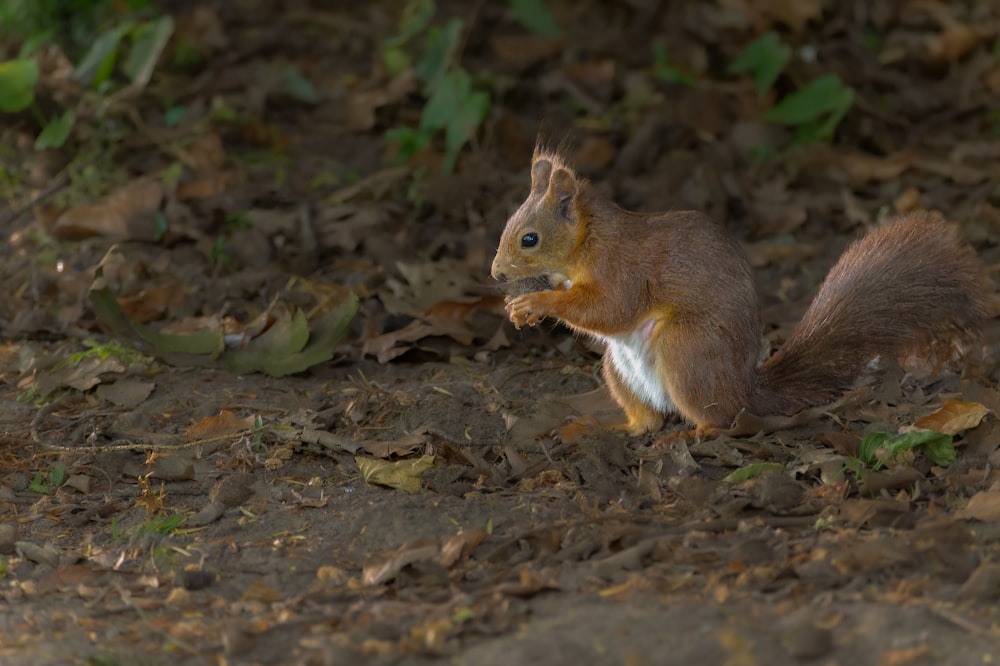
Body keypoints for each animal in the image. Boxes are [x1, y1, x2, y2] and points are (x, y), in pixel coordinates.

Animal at [490, 148, 992, 434]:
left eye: (529, 238)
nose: (496, 274)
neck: (587, 241)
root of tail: (744, 389)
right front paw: (519, 307)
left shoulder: (622, 267)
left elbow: (611, 308)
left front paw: (536, 302)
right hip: (620, 371)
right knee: (650, 421)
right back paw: (623, 430)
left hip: (686, 350)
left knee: (718, 416)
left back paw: (703, 433)